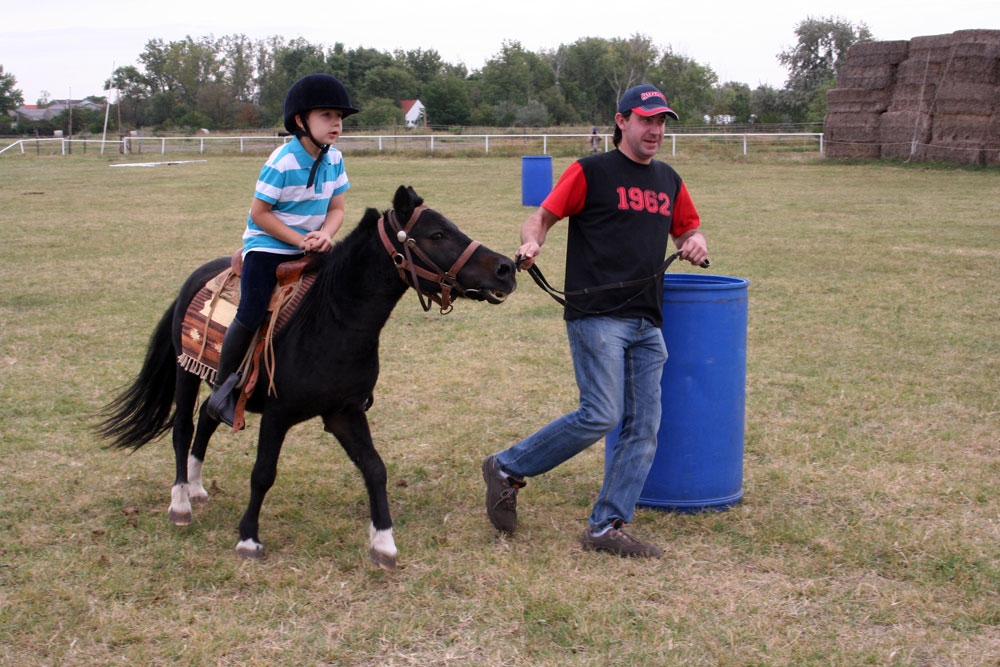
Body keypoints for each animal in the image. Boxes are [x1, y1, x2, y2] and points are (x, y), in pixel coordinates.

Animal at [97, 187, 516, 568]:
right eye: (437, 235)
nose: (506, 268)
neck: (331, 320)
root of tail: (197, 277)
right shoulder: (278, 415)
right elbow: (263, 473)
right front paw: (248, 539)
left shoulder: (344, 412)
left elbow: (375, 468)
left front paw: (383, 543)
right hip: (187, 371)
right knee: (183, 428)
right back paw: (181, 502)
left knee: (207, 416)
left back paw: (198, 486)